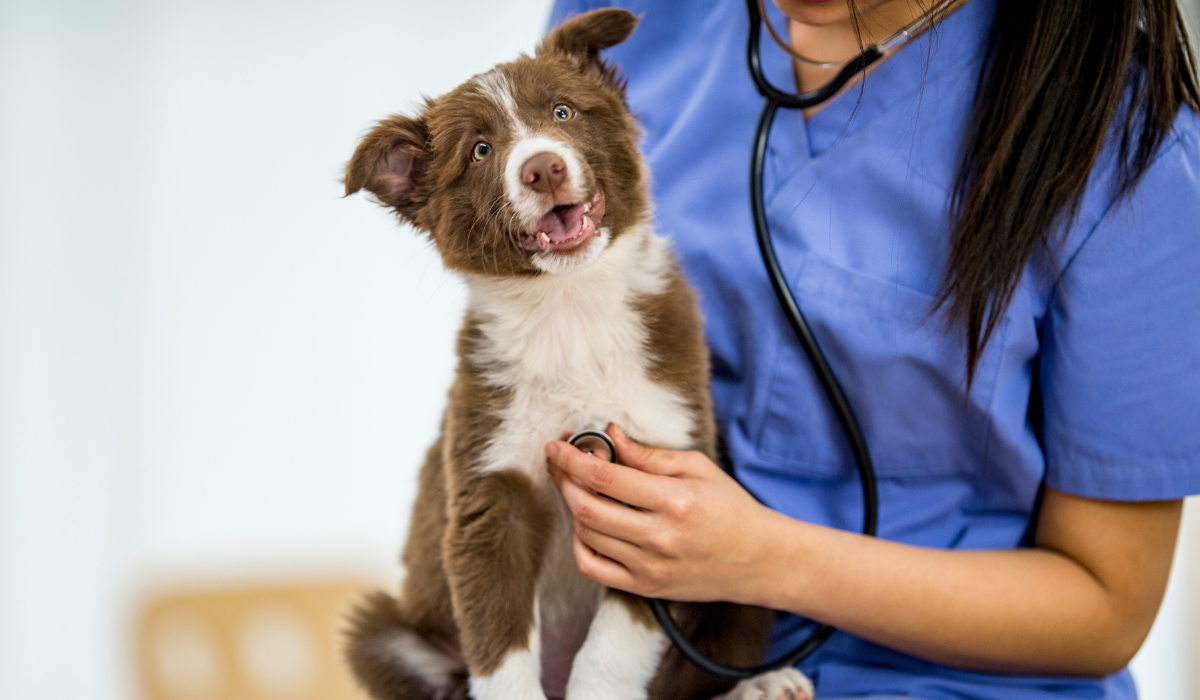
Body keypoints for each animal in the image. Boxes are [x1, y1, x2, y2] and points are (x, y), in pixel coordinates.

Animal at [343, 9, 811, 700]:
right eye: (481, 151)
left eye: (563, 112)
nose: (543, 168)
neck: (569, 311)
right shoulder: (491, 493)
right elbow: (500, 648)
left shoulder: (656, 486)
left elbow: (615, 646)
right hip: (385, 631)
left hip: (744, 586)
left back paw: (760, 683)